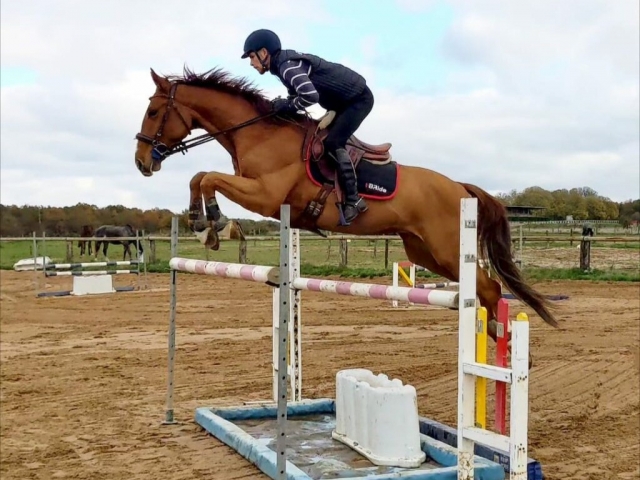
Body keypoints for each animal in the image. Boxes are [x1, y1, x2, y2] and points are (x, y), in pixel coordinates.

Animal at [133, 66, 560, 366]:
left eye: (153, 111)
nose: (141, 163)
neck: (258, 134)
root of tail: (460, 187)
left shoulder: (266, 196)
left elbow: (209, 178)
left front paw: (215, 226)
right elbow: (199, 176)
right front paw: (200, 223)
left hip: (447, 248)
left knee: (489, 288)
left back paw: (505, 348)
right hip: (425, 252)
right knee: (483, 289)